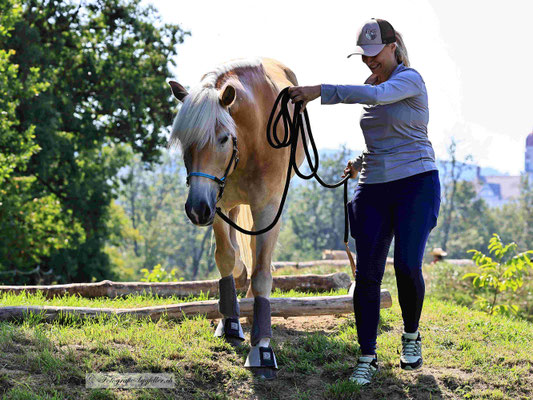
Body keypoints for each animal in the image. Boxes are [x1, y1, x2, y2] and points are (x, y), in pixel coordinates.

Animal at [168, 57, 307, 379]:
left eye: (222, 139)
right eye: (184, 142)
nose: (195, 209)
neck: (251, 139)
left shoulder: (268, 208)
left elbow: (262, 272)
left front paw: (262, 347)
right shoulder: (217, 203)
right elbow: (226, 257)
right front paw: (230, 322)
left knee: (257, 256)